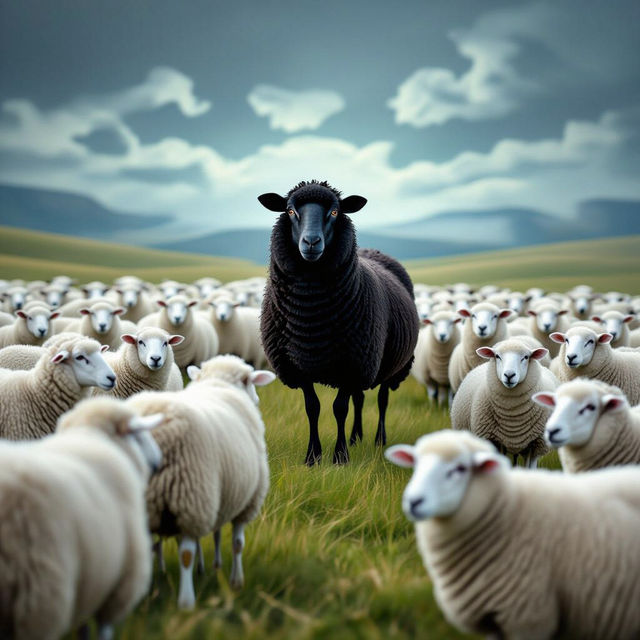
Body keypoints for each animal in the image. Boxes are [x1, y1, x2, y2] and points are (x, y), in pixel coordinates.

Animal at [0, 398, 162, 640]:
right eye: (139, 435)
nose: (158, 462)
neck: (92, 437)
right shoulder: (119, 583)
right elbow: (104, 628)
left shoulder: (90, 580)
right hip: (39, 593)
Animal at [126, 355, 275, 609]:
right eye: (248, 380)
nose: (256, 399)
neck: (219, 384)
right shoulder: (244, 500)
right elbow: (237, 543)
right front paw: (236, 581)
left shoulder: (220, 493)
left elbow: (214, 534)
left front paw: (210, 567)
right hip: (190, 495)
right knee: (185, 553)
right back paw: (186, 601)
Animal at [258, 180, 419, 465]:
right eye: (290, 210)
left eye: (334, 211)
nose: (311, 242)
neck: (311, 317)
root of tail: (373, 251)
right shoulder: (299, 366)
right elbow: (313, 408)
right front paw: (313, 457)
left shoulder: (350, 363)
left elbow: (339, 408)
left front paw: (340, 456)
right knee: (360, 398)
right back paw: (357, 437)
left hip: (389, 364)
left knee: (382, 399)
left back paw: (379, 440)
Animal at [450, 337, 556, 467]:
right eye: (497, 356)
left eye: (526, 357)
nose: (509, 375)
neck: (513, 414)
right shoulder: (493, 441)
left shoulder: (535, 444)